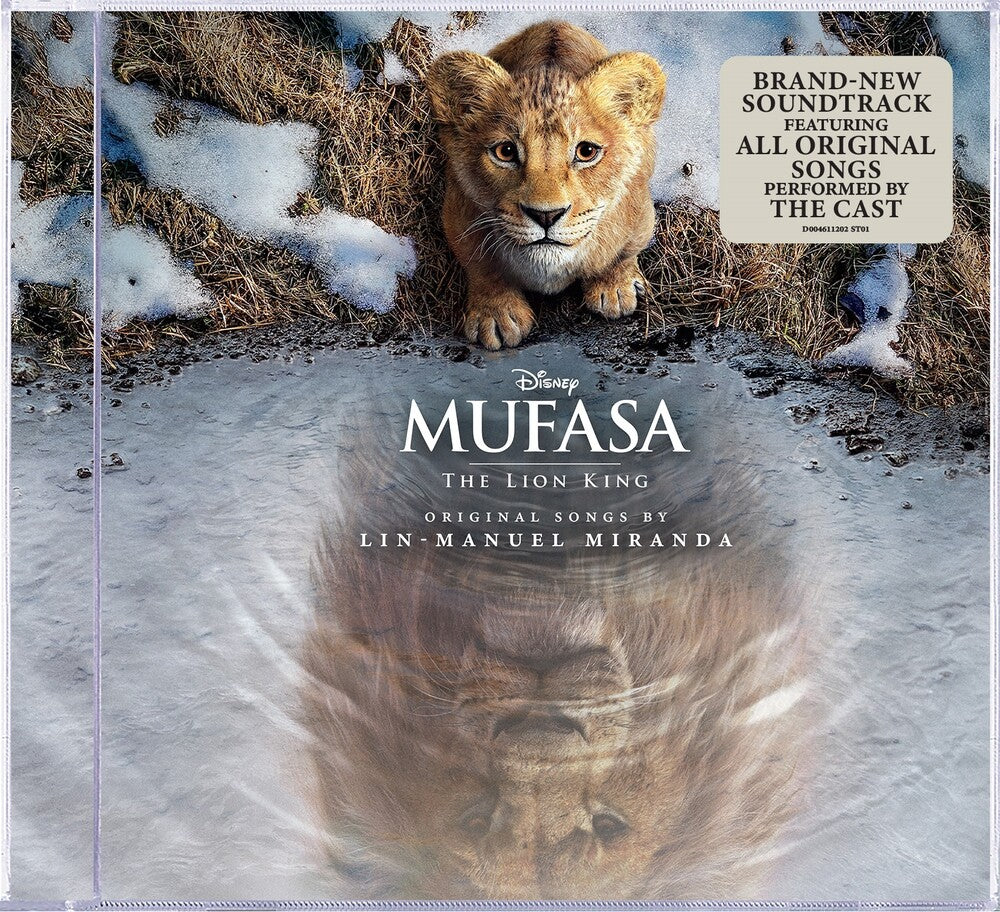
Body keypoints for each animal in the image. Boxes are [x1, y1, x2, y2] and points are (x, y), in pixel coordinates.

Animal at [425, 21, 667, 350]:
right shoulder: (458, 214)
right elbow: (481, 266)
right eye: (505, 152)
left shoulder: (640, 213)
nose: (546, 215)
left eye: (586, 151)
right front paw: (495, 315)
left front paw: (615, 289)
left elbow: (622, 253)